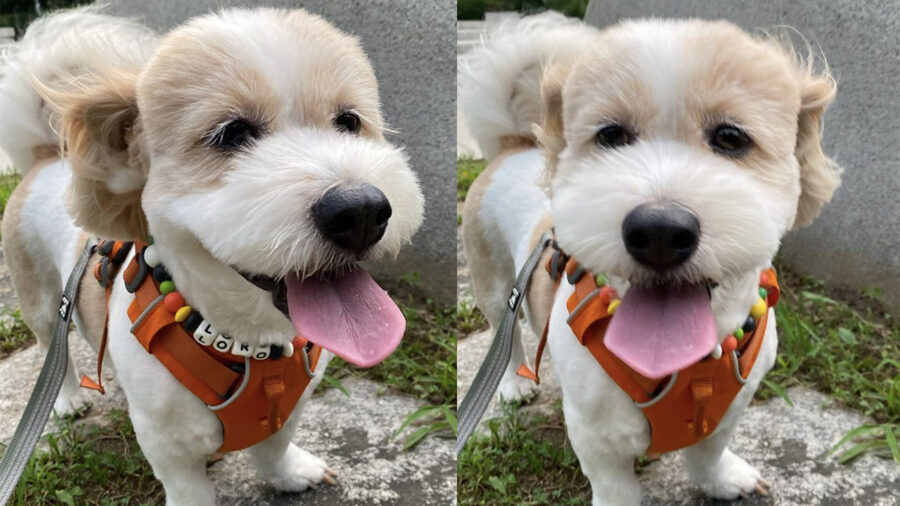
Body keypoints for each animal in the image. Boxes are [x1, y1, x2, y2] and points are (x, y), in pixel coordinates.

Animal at [0, 5, 422, 504]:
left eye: (350, 122)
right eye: (231, 133)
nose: (360, 211)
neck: (251, 342)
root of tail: (47, 156)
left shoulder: (292, 405)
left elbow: (274, 447)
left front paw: (288, 473)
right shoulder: (165, 442)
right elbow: (189, 487)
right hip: (40, 296)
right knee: (51, 345)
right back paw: (65, 397)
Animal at [460, 12, 840, 506]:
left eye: (731, 137)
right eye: (611, 136)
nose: (660, 231)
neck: (685, 364)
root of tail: (515, 145)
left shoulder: (731, 407)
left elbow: (708, 452)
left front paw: (721, 479)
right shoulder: (594, 433)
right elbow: (614, 485)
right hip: (490, 275)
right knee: (502, 332)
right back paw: (514, 381)